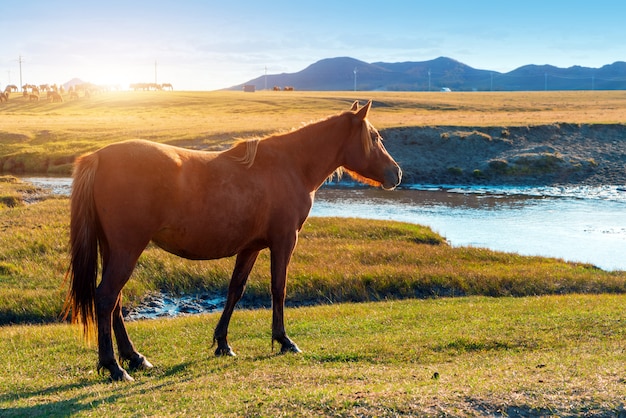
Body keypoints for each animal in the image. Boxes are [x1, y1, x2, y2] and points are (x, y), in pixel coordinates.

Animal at [63, 101, 402, 382]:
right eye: (375, 137)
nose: (396, 173)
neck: (290, 165)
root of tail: (98, 157)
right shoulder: (283, 242)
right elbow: (278, 289)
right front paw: (284, 340)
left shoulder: (250, 248)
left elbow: (234, 291)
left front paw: (223, 343)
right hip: (127, 250)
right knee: (106, 298)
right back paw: (114, 366)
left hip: (114, 250)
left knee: (115, 303)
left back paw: (134, 358)